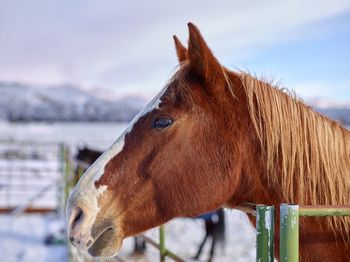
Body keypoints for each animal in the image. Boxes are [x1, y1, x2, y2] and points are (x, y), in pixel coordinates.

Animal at [75, 146, 226, 260]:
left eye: (81, 158)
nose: (75, 176)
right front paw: (141, 249)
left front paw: (139, 249)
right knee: (210, 233)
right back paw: (200, 255)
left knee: (211, 233)